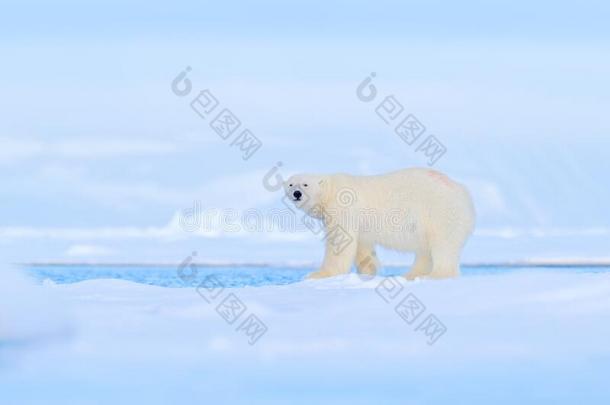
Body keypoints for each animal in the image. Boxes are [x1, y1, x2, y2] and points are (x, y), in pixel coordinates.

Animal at [282, 166, 472, 278]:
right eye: (291, 184)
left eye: (305, 184)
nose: (297, 193)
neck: (331, 190)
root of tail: (464, 193)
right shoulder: (361, 224)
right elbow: (362, 245)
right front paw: (368, 272)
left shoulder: (342, 207)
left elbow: (339, 242)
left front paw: (319, 274)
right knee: (425, 250)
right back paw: (410, 275)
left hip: (439, 211)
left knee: (443, 244)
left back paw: (436, 275)